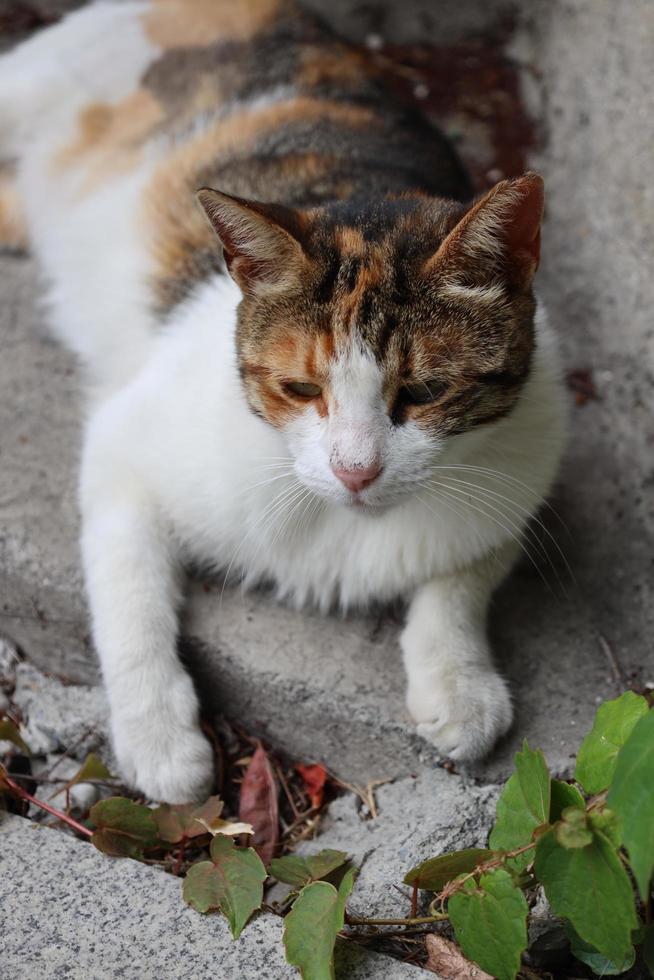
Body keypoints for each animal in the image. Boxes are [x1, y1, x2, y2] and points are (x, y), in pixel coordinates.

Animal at [0, 0, 568, 804]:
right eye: (300, 389)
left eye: (425, 392)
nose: (356, 471)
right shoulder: (124, 447)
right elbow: (129, 591)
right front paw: (158, 737)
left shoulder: (519, 467)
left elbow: (464, 570)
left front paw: (458, 683)